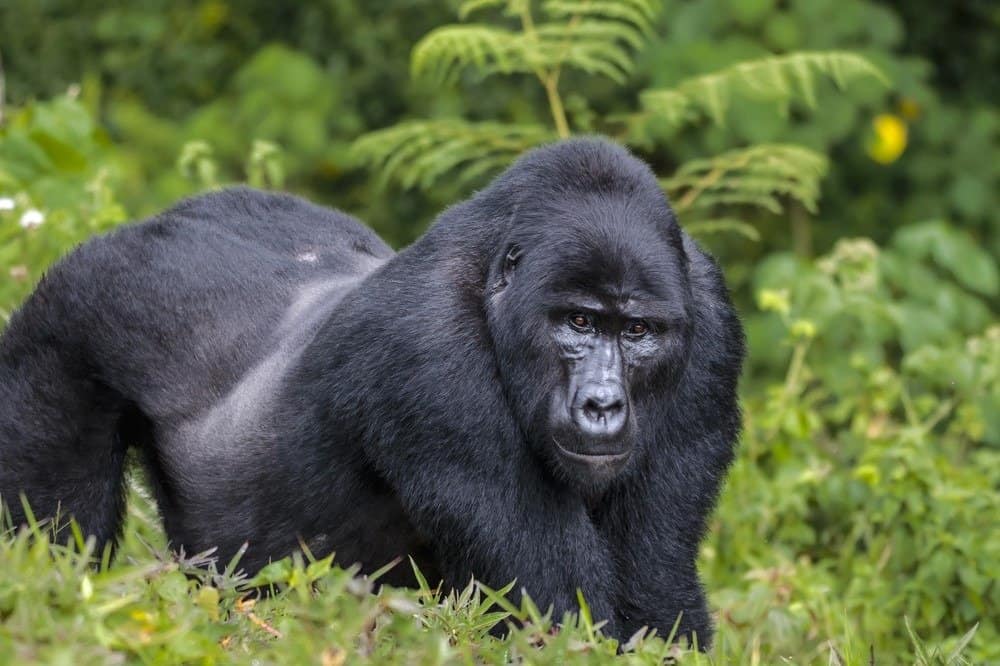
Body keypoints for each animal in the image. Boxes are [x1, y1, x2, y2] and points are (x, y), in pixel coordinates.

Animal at [0, 139, 744, 644]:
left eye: (639, 331)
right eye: (579, 322)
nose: (602, 404)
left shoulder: (710, 327)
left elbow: (654, 599)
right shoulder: (431, 360)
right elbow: (559, 618)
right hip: (71, 308)